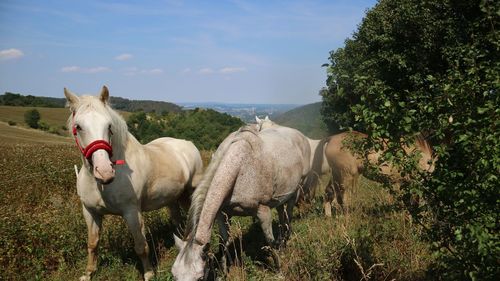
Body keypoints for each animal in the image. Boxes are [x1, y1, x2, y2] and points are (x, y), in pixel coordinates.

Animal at [65, 86, 204, 280]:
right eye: (78, 126)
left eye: (109, 126)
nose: (105, 171)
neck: (101, 185)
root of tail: (188, 144)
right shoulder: (90, 212)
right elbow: (92, 244)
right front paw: (88, 273)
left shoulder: (131, 212)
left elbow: (141, 246)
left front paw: (149, 274)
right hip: (172, 198)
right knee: (177, 220)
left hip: (189, 194)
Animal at [174, 123, 310, 278]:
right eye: (174, 275)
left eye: (200, 277)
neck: (239, 166)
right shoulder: (222, 214)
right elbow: (223, 243)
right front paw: (223, 273)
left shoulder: (263, 211)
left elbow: (269, 241)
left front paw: (279, 270)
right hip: (280, 197)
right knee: (281, 213)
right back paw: (281, 242)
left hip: (295, 191)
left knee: (289, 215)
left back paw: (284, 241)